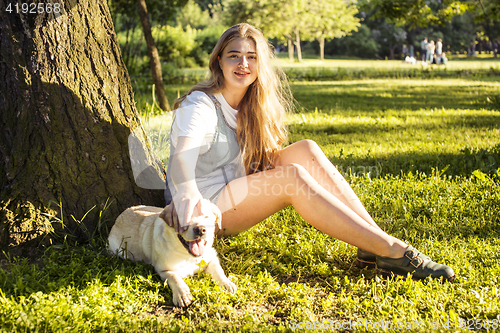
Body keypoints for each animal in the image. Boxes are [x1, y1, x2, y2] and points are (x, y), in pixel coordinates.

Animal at [108, 200, 236, 306]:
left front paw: (226, 283)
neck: (187, 257)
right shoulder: (162, 270)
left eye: (206, 216)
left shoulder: (211, 258)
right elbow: (174, 277)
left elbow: (218, 270)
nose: (200, 229)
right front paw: (182, 294)